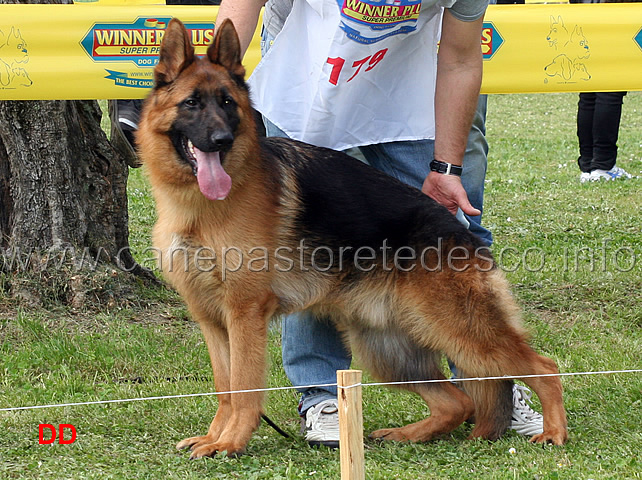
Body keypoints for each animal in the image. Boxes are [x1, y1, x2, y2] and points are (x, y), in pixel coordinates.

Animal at [138, 18, 568, 460]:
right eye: (191, 103)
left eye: (227, 104)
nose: (222, 139)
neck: (198, 208)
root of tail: (458, 230)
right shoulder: (212, 319)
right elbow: (225, 387)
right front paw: (215, 437)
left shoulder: (244, 314)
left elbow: (243, 387)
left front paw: (232, 441)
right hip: (387, 350)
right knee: (458, 402)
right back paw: (407, 434)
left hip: (459, 332)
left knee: (544, 369)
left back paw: (553, 432)